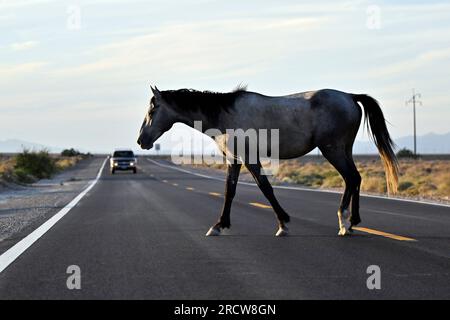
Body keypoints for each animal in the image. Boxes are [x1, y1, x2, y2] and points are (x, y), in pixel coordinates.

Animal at [136, 86, 398, 236]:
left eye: (152, 110)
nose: (141, 140)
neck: (225, 114)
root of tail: (350, 97)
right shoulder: (235, 160)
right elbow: (229, 191)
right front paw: (219, 225)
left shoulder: (249, 158)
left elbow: (265, 188)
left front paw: (283, 223)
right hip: (344, 150)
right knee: (356, 179)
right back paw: (353, 221)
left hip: (332, 150)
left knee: (351, 179)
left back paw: (344, 223)